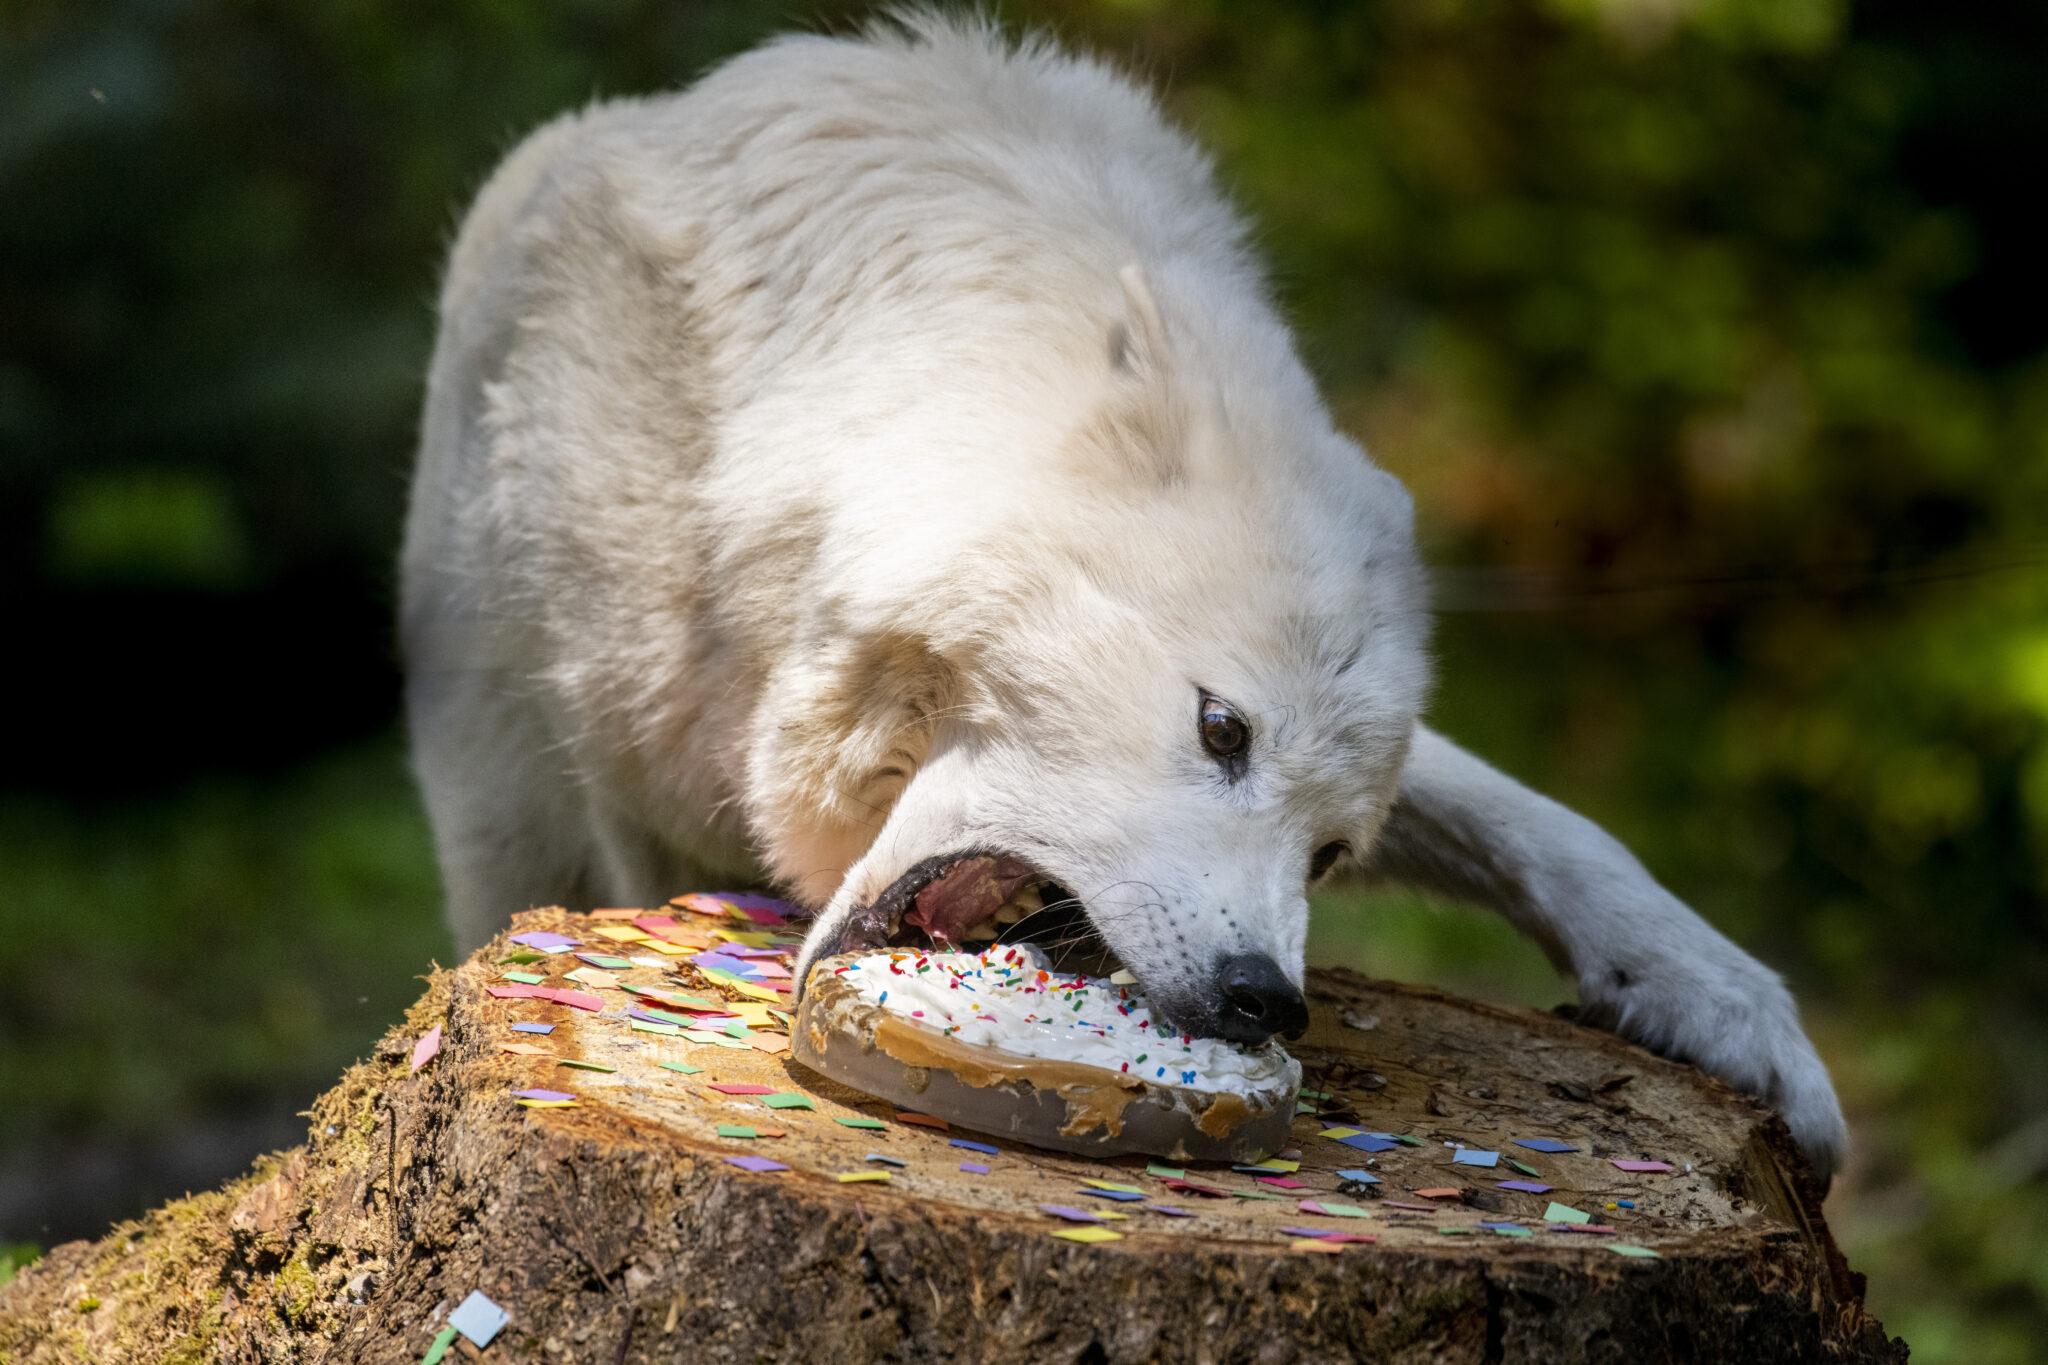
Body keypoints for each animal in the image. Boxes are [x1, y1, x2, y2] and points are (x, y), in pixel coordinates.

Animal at [400, 14, 1848, 1179]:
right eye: (1220, 729)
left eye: (1330, 853)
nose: (1269, 1001)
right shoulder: (637, 786)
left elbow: (1545, 824)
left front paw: (1733, 1014)